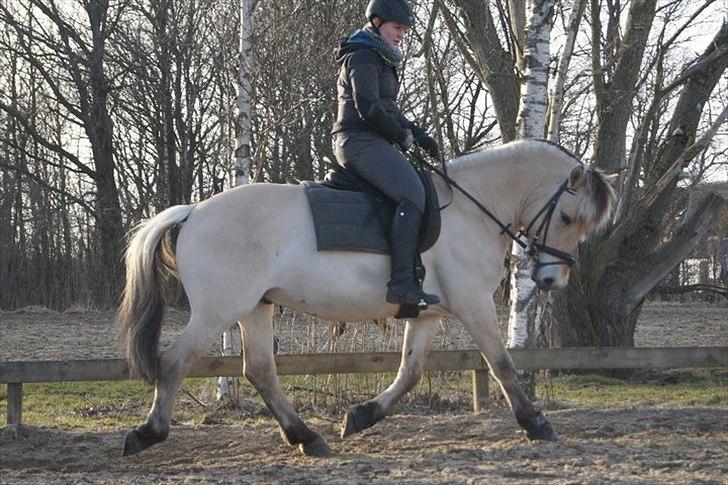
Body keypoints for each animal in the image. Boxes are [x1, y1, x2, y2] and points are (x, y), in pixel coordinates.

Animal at [118, 138, 616, 456]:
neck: (471, 209)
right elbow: (502, 364)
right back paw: (147, 434)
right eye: (567, 218)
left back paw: (305, 438)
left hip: (256, 309)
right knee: (175, 362)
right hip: (219, 310)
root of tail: (194, 210)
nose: (551, 280)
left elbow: (410, 372)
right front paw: (536, 424)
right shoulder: (474, 305)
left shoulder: (427, 314)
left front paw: (361, 416)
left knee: (259, 370)